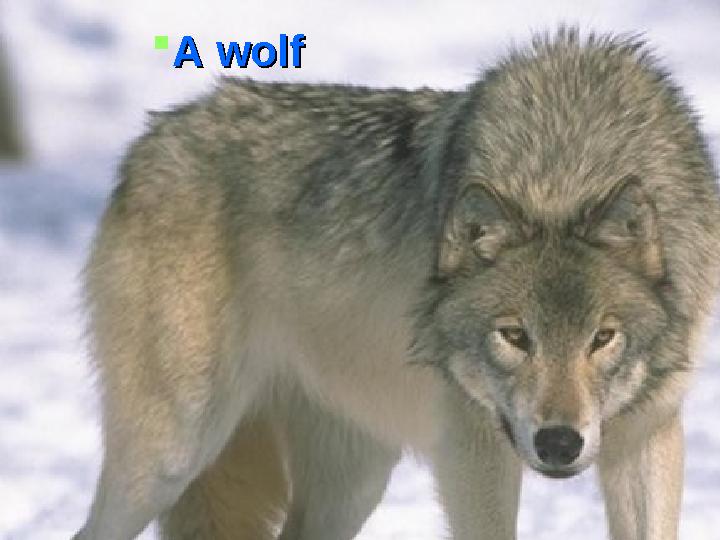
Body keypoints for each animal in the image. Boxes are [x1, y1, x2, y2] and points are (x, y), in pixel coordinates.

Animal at [74, 28, 720, 540]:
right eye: (514, 337)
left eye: (602, 338)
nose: (558, 444)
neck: (563, 167)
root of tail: (153, 137)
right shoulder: (472, 450)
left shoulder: (647, 434)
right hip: (172, 453)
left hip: (352, 483)